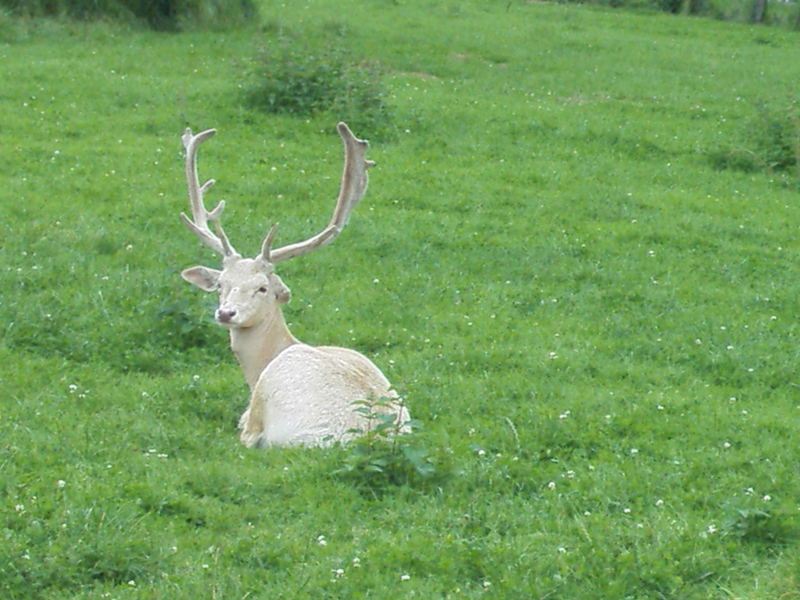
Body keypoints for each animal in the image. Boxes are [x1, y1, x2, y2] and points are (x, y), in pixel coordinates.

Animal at [179, 122, 410, 448]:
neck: (256, 368)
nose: (226, 313)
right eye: (221, 283)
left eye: (263, 287)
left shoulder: (252, 412)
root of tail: (371, 437)